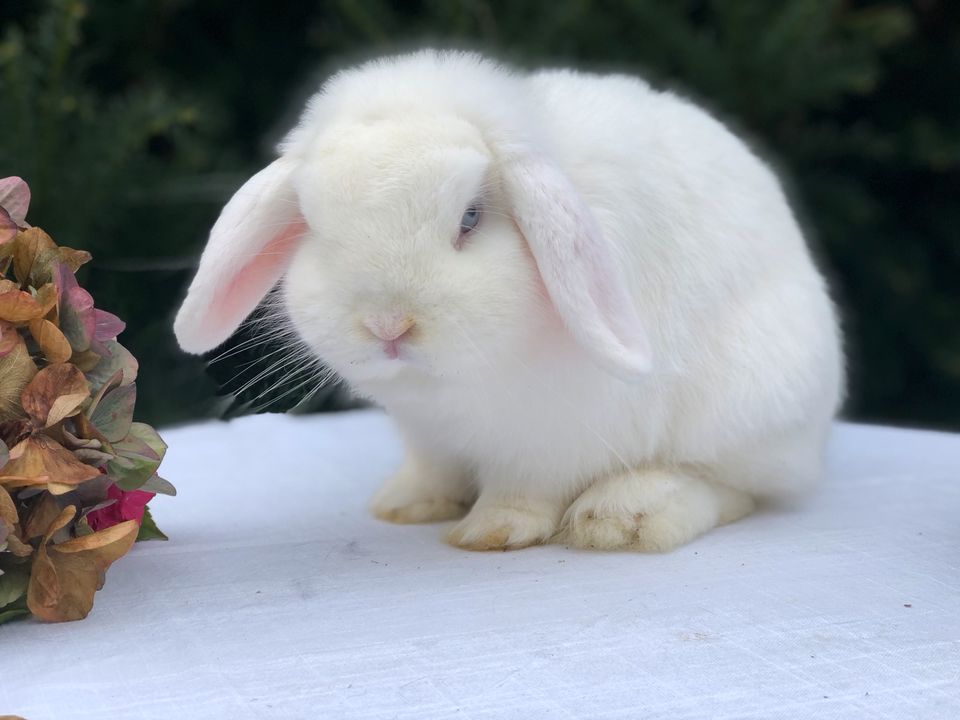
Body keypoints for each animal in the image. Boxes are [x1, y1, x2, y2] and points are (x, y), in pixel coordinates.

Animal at [176, 50, 844, 556]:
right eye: (314, 224)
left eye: (470, 218)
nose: (388, 325)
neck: (454, 384)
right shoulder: (428, 433)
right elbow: (434, 467)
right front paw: (406, 505)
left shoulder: (552, 437)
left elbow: (524, 490)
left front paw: (489, 532)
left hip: (747, 404)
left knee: (735, 487)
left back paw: (623, 518)